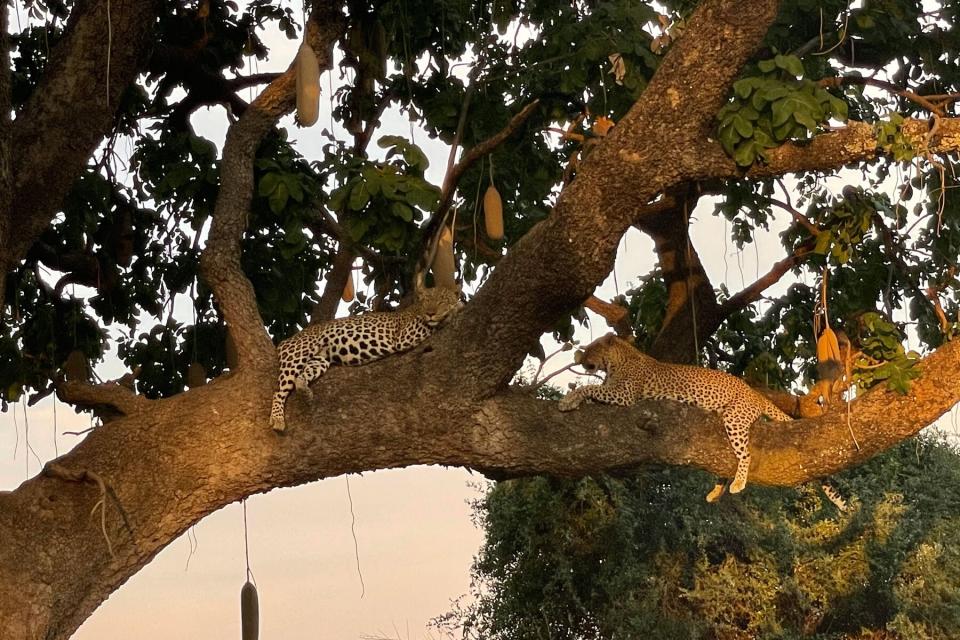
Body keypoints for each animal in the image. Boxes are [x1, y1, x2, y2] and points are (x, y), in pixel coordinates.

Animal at [270, 284, 462, 430]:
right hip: (297, 355)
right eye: (427, 300)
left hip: (320, 360)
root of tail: (285, 341)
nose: (431, 313)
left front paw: (453, 308)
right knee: (278, 391)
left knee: (300, 378)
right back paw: (278, 419)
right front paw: (455, 310)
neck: (416, 310)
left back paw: (305, 391)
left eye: (442, 300)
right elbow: (432, 324)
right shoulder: (405, 334)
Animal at [560, 332, 792, 502]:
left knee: (746, 454)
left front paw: (568, 400)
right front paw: (576, 400)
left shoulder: (624, 395)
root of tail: (756, 394)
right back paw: (715, 493)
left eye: (592, 349)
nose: (580, 360)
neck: (615, 362)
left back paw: (738, 483)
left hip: (735, 418)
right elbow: (593, 392)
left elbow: (590, 387)